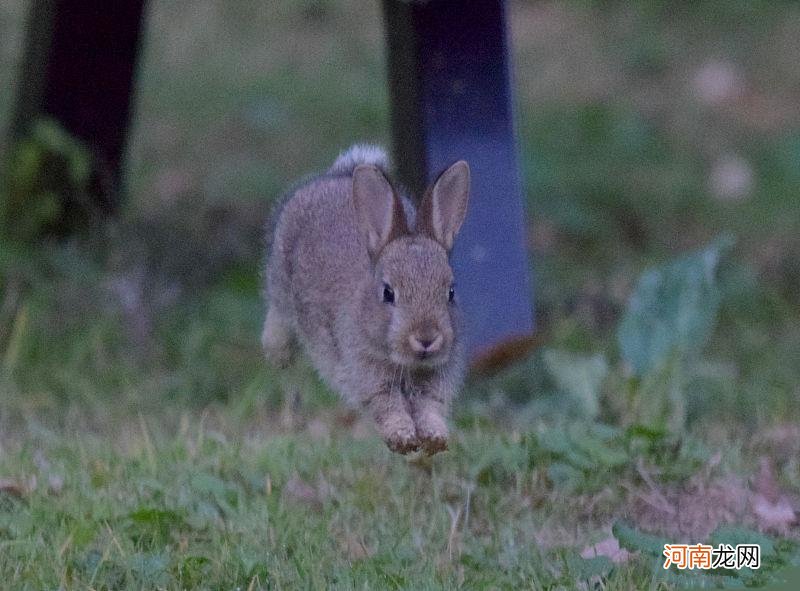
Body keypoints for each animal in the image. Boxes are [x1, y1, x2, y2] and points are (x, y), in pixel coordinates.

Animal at [264, 146, 468, 456]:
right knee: (277, 316)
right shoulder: (367, 375)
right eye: (388, 293)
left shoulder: (436, 381)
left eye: (451, 292)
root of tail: (338, 175)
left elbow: (429, 408)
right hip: (280, 281)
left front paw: (434, 439)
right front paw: (403, 439)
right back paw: (278, 354)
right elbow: (387, 407)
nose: (426, 339)